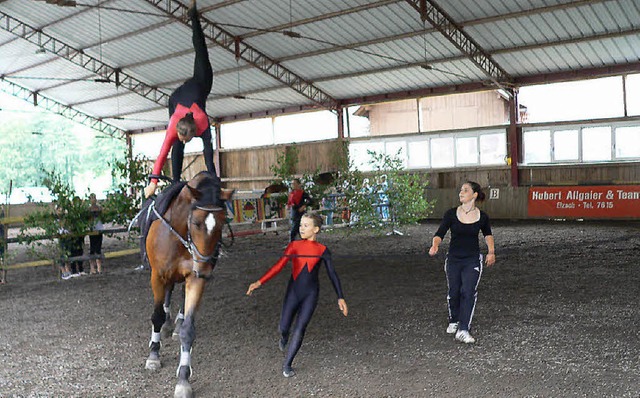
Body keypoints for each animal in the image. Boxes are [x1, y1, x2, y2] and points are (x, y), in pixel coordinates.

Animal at [144, 172, 234, 398]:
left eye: (222, 223)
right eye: (196, 222)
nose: (206, 271)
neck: (180, 237)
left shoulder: (195, 277)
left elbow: (188, 330)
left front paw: (183, 379)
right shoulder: (157, 276)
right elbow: (156, 315)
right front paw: (154, 355)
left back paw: (175, 323)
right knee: (166, 298)